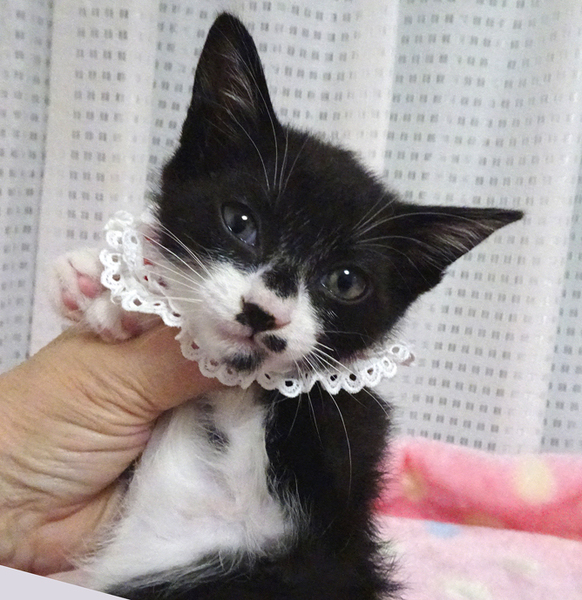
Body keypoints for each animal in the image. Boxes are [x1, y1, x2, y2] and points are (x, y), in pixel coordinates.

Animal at [53, 13, 523, 600]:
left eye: (345, 282)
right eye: (240, 222)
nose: (263, 312)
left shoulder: (333, 488)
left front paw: (129, 298)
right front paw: (109, 283)